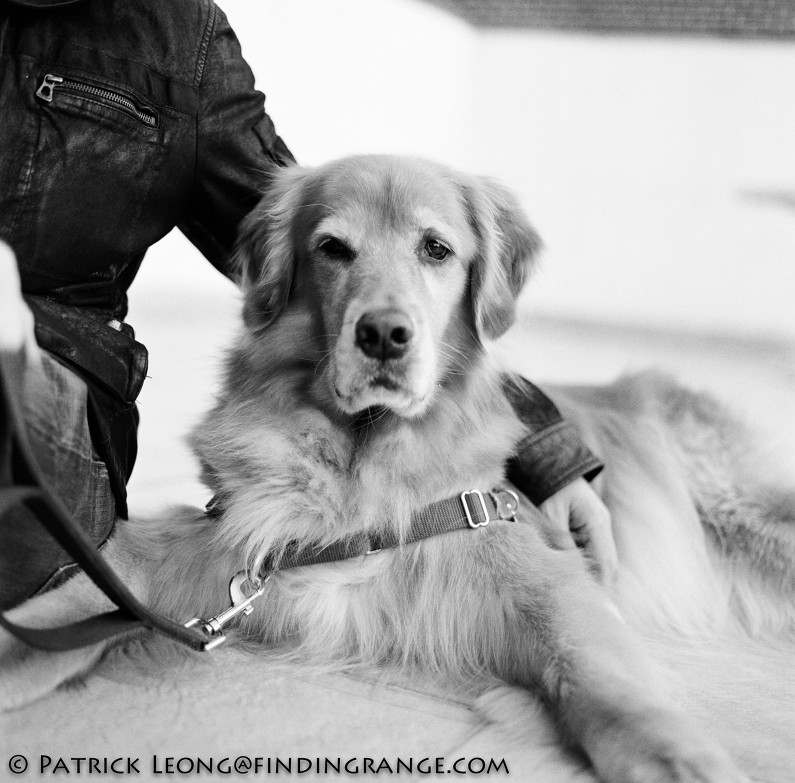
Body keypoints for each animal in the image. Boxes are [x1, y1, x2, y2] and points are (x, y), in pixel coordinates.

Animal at [3, 155, 792, 783]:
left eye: (436, 249)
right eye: (332, 248)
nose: (383, 334)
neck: (362, 461)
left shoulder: (544, 581)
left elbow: (599, 679)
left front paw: (680, 759)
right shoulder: (210, 546)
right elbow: (62, 606)